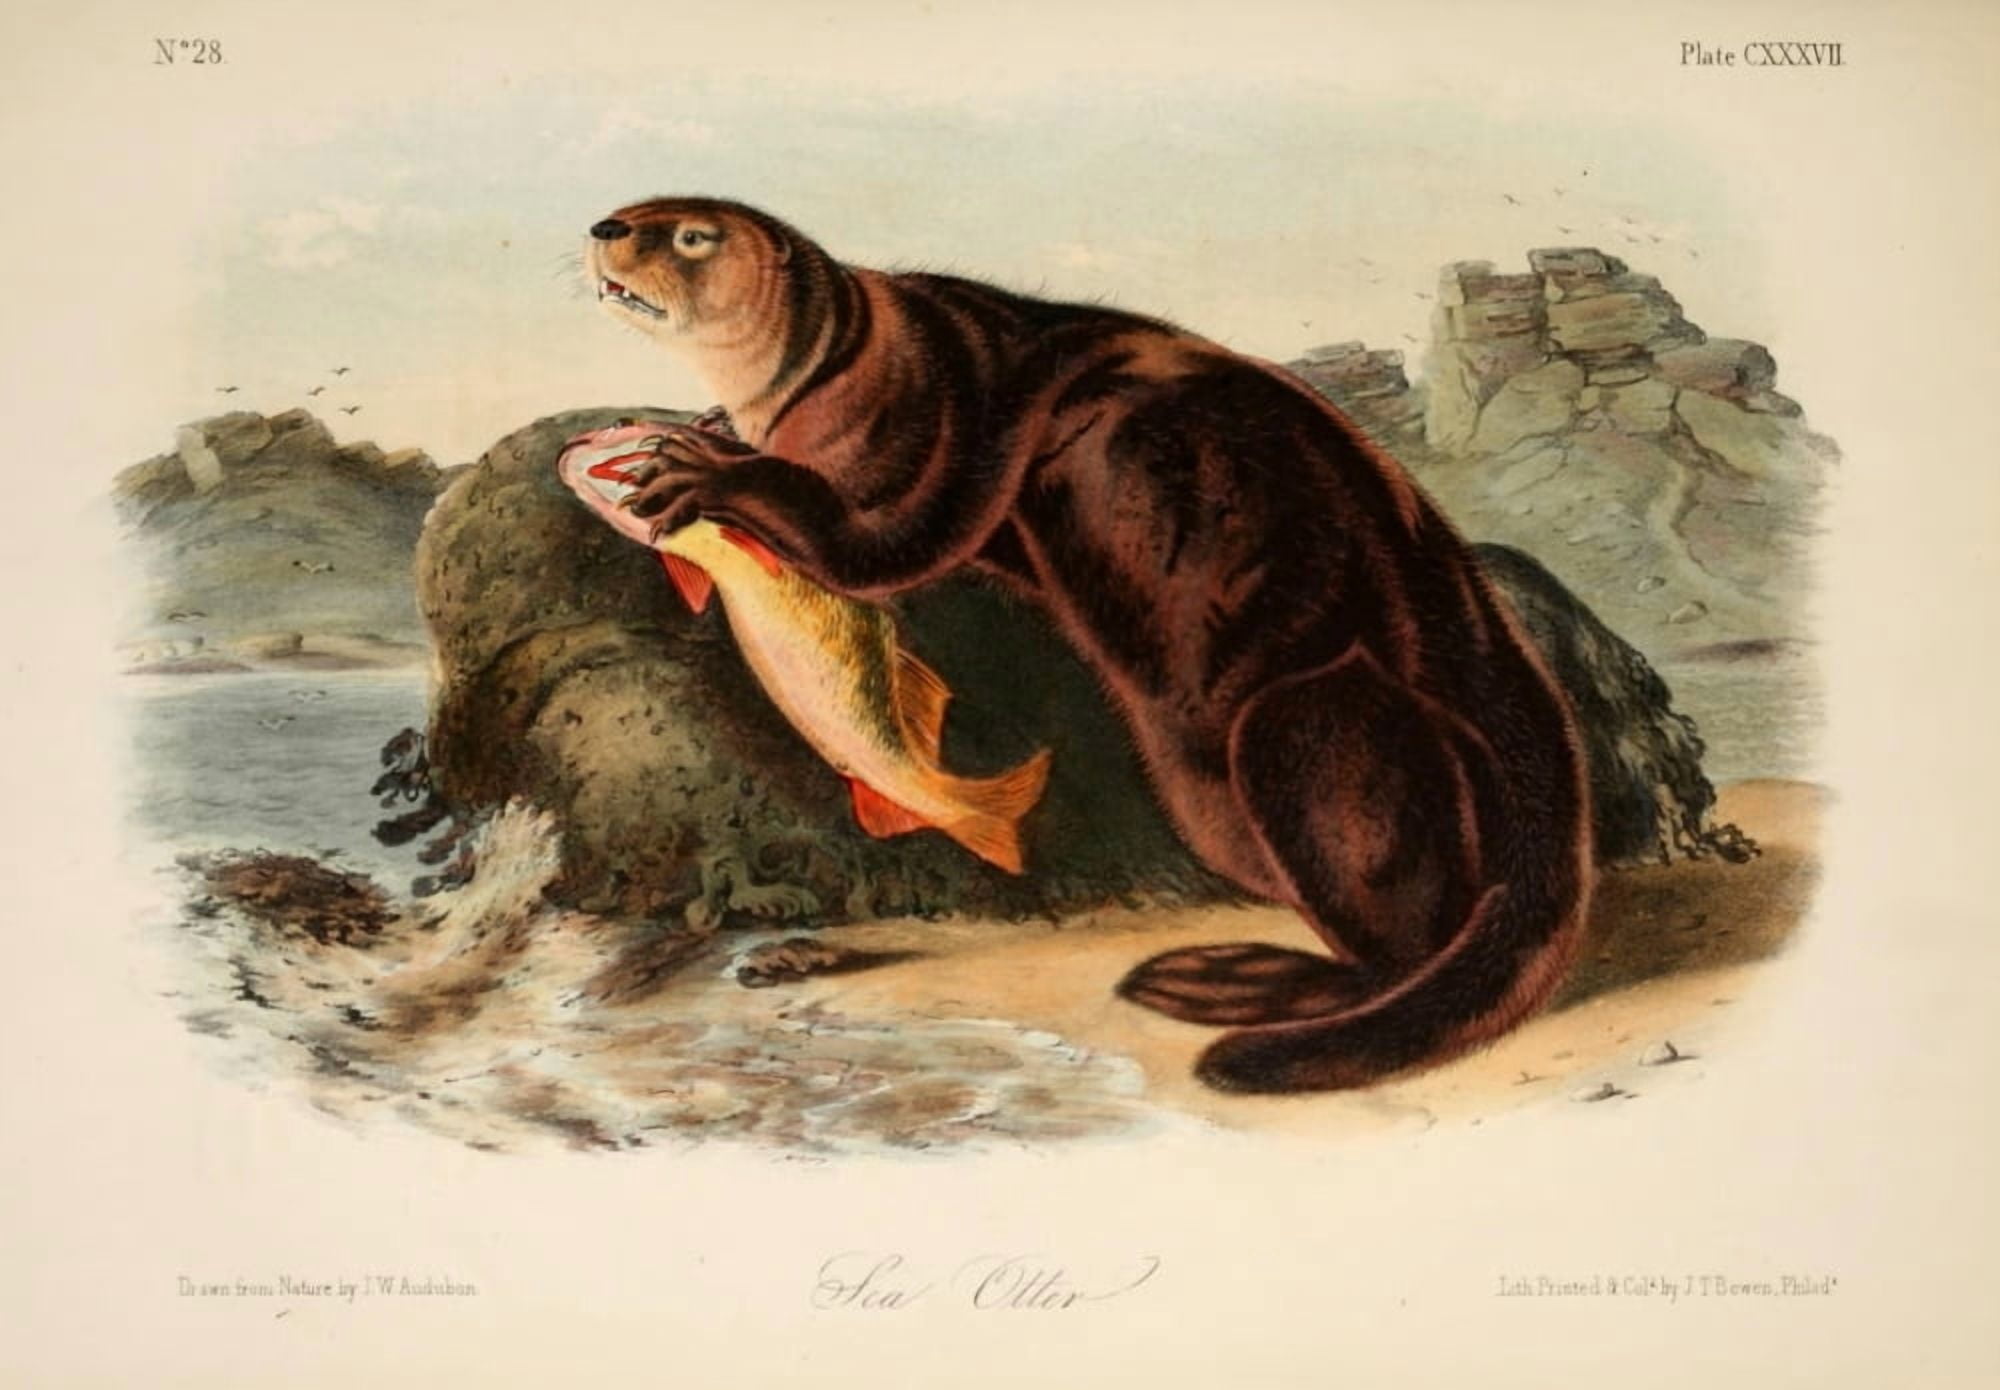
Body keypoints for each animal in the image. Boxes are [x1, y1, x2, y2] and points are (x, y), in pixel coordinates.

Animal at [583, 196, 1593, 1093]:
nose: (606, 227)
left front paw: (704, 468)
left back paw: (1241, 981)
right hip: (1213, 805)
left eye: (692, 234)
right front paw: (705, 436)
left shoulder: (943, 417)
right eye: (644, 211)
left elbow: (879, 547)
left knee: (1398, 928)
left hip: (1304, 718)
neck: (860, 358)